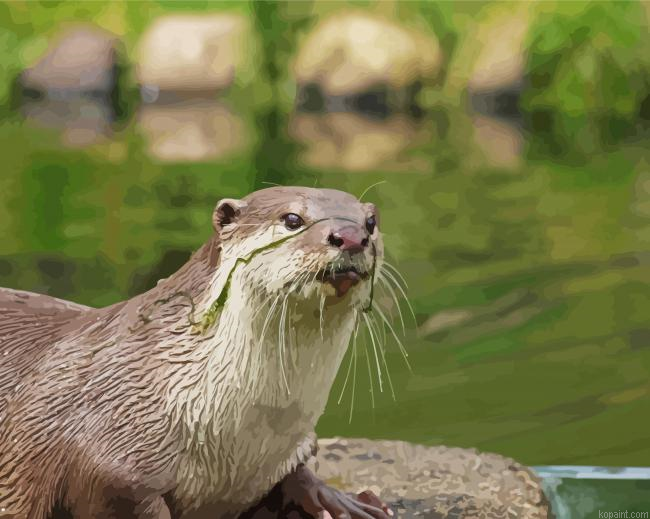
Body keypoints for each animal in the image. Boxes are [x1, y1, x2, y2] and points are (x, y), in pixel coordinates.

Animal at [0, 187, 392, 519]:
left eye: (370, 222)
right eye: (292, 219)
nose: (351, 236)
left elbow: (296, 475)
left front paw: (340, 501)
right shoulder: (108, 464)